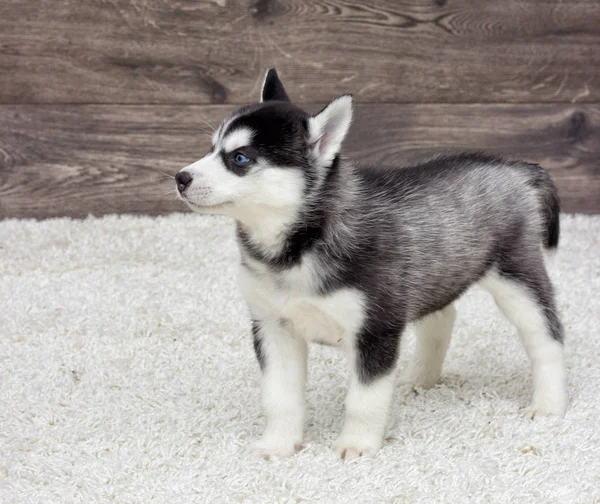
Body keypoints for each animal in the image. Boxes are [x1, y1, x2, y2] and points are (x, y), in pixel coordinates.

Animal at [175, 69, 568, 458]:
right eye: (211, 148)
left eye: (240, 158)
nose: (180, 177)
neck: (296, 247)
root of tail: (514, 167)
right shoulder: (273, 327)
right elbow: (279, 397)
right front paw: (278, 444)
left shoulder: (376, 330)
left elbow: (363, 401)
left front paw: (357, 445)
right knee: (441, 316)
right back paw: (419, 379)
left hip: (517, 279)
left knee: (546, 338)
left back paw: (549, 403)